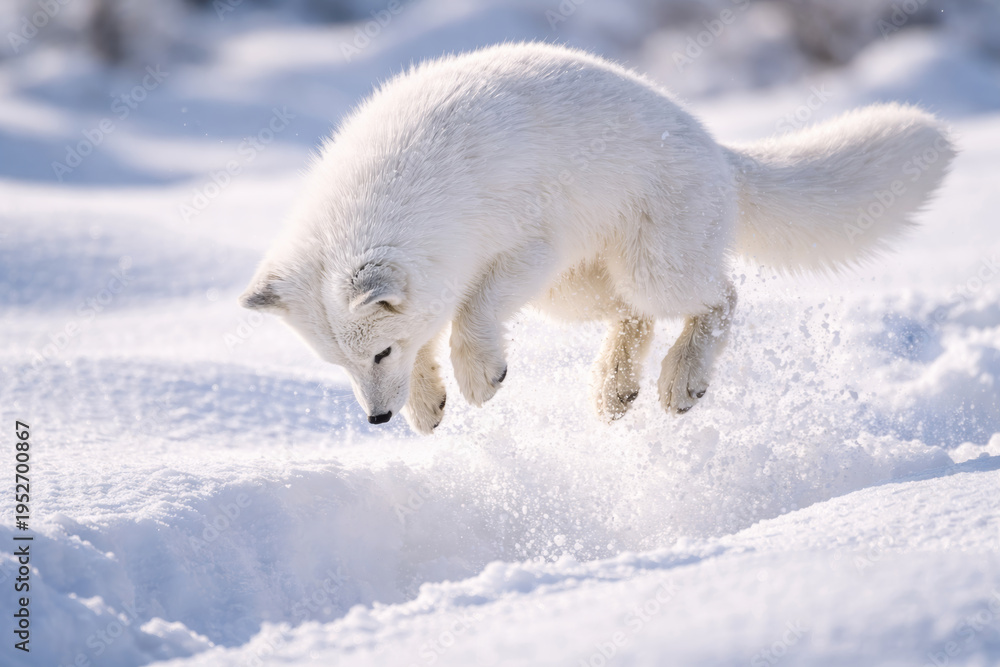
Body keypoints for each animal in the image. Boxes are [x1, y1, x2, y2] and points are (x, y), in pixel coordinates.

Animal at [240, 42, 954, 435]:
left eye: (379, 353)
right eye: (340, 365)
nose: (377, 420)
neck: (428, 192)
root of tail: (721, 152)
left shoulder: (526, 248)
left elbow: (471, 314)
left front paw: (476, 378)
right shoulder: (453, 278)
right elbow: (435, 330)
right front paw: (427, 404)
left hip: (648, 270)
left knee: (720, 297)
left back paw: (680, 380)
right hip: (574, 294)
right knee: (634, 317)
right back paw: (615, 389)